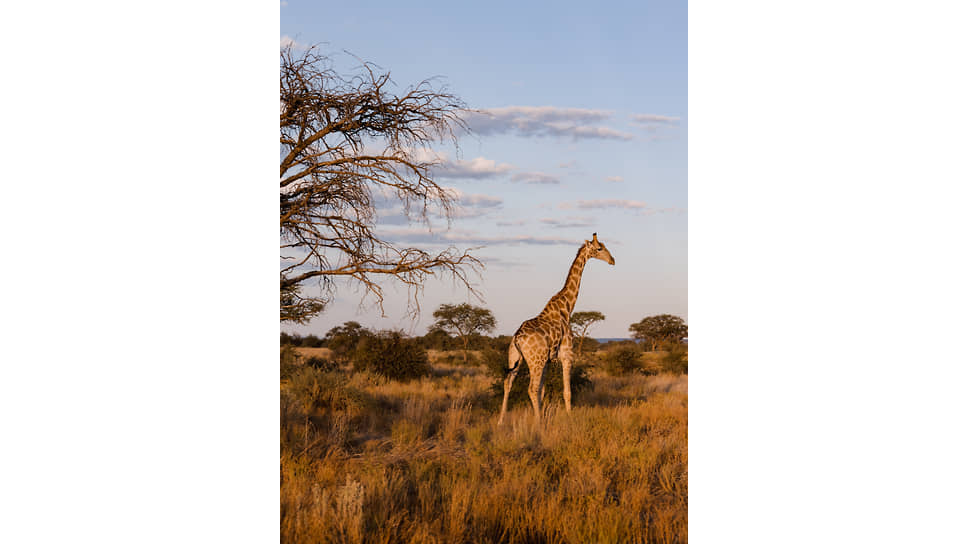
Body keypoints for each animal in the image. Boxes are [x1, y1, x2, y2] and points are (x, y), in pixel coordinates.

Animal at [496, 232, 616, 422]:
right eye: (599, 248)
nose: (612, 260)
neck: (566, 308)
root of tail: (517, 338)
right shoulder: (567, 354)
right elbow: (567, 392)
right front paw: (569, 418)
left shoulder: (547, 360)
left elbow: (543, 390)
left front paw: (545, 414)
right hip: (534, 360)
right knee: (531, 388)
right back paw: (537, 423)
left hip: (515, 357)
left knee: (508, 383)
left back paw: (501, 421)